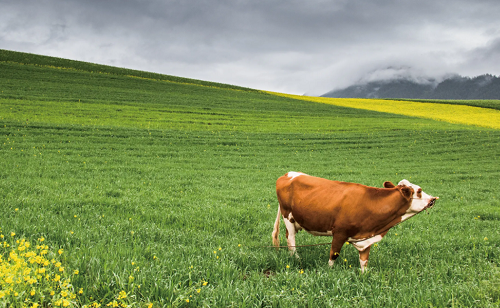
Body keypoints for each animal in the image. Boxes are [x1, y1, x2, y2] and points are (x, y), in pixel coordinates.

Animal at [272, 171, 440, 272]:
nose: (433, 198)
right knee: (291, 239)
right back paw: (296, 259)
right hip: (288, 216)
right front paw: (329, 271)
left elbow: (364, 262)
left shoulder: (366, 239)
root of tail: (287, 174)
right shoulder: (339, 233)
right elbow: (334, 255)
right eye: (419, 191)